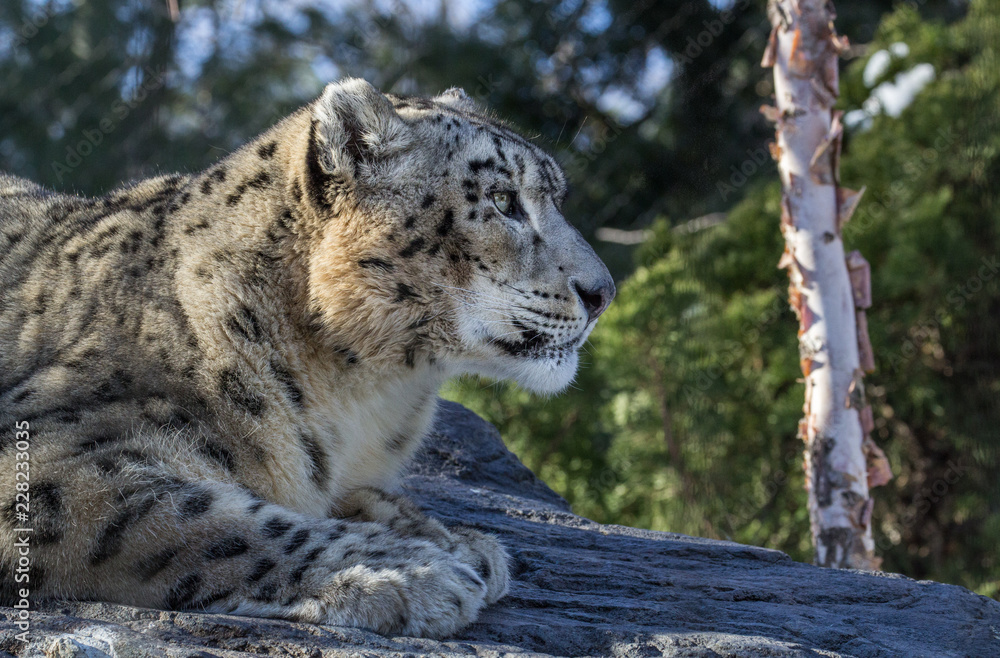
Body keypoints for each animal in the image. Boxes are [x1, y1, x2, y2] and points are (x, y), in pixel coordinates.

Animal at [0, 78, 614, 638]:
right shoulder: (54, 455)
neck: (367, 397)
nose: (603, 292)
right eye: (502, 200)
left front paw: (446, 537)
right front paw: (410, 569)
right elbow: (205, 520)